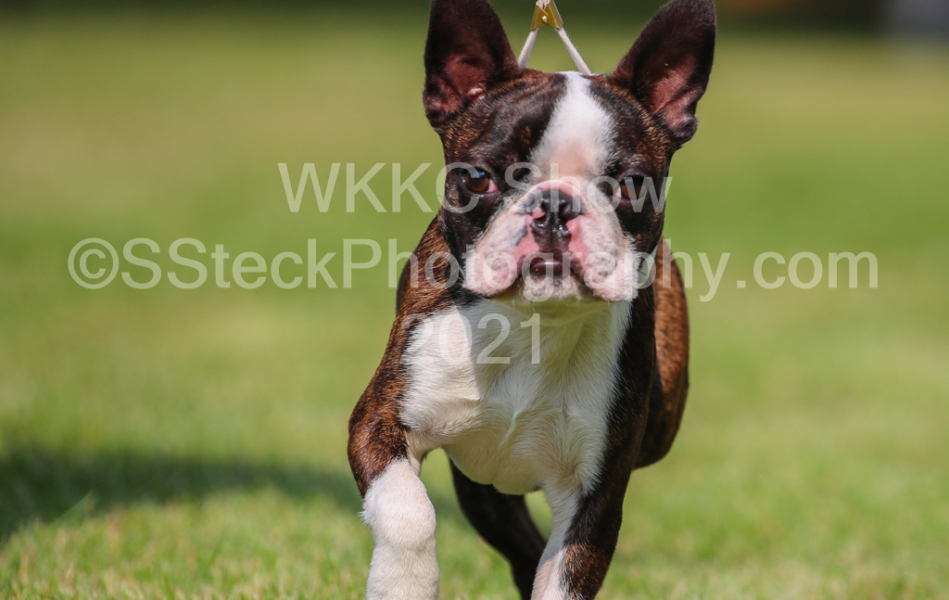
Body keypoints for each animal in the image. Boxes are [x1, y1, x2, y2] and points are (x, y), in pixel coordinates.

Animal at [347, 0, 714, 597]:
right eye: (478, 178)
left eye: (633, 186)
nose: (557, 205)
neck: (533, 321)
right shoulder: (379, 421)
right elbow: (409, 511)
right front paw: (402, 583)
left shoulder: (594, 496)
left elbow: (561, 579)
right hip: (482, 490)